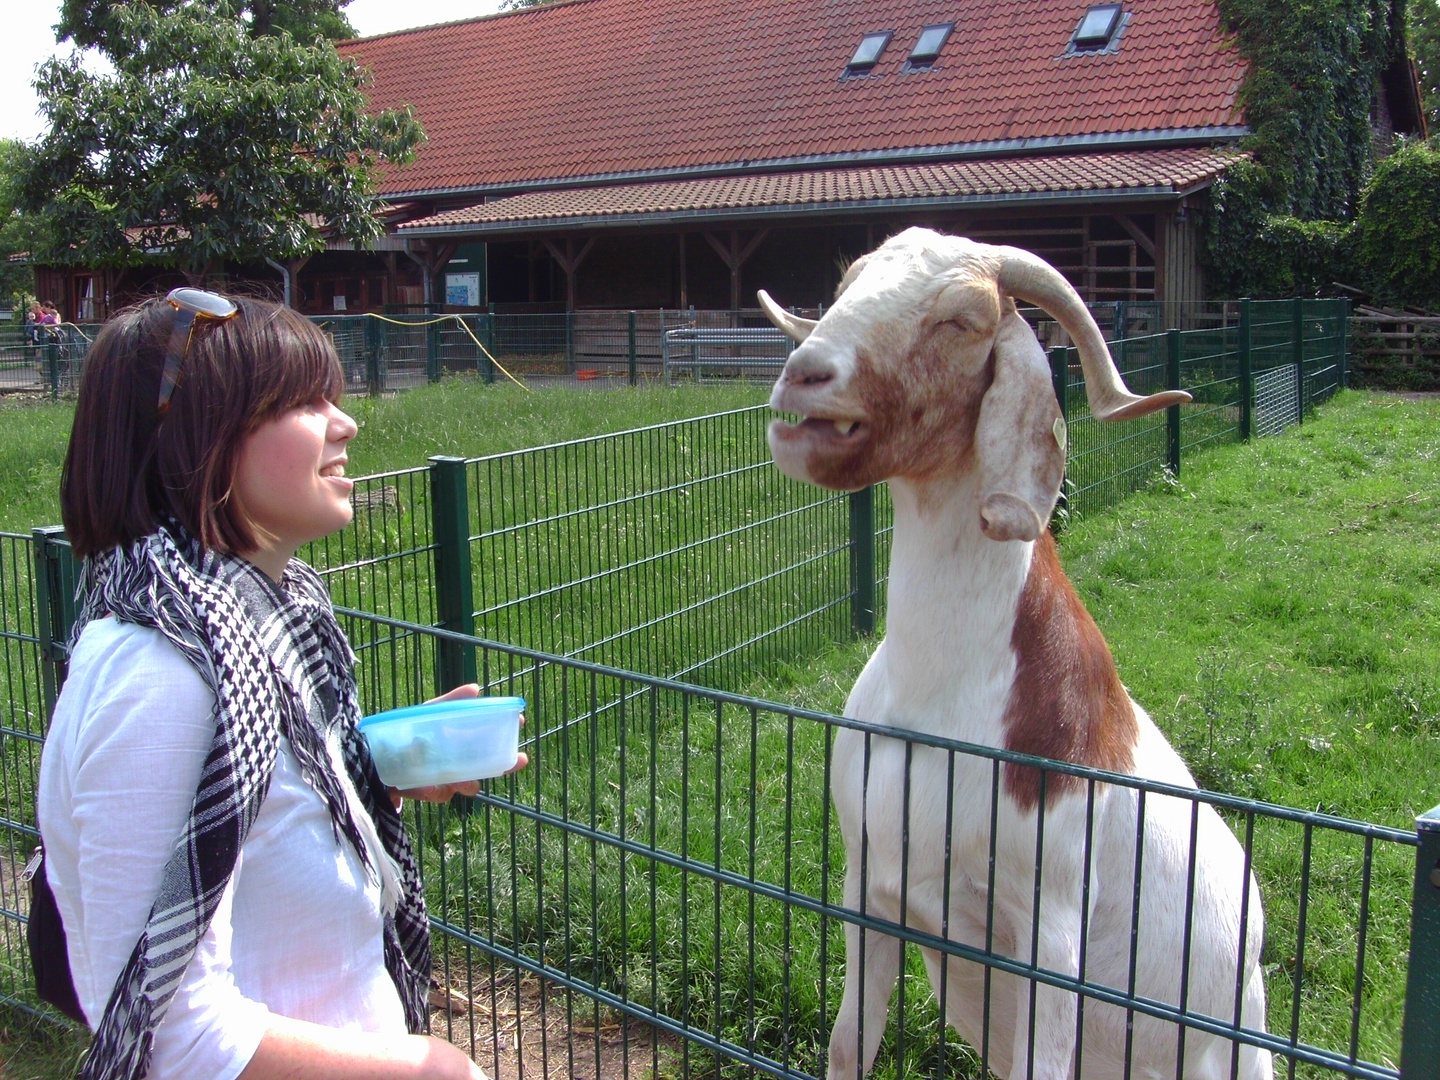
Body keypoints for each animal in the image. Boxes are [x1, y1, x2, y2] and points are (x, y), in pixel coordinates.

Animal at [760, 233, 1267, 1080]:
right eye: (846, 285)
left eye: (964, 318)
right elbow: (850, 1042)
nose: (806, 374)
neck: (937, 696)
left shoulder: (1050, 936)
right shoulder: (868, 885)